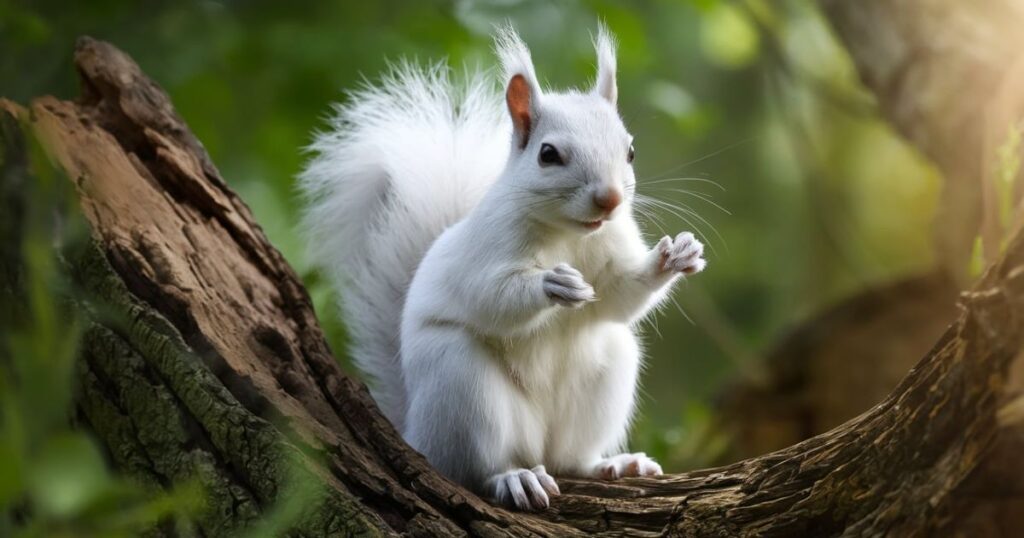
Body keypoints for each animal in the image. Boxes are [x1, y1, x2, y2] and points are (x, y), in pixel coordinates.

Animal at [299, 25, 708, 510]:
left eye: (630, 150)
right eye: (547, 154)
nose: (609, 200)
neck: (571, 234)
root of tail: (415, 431)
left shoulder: (612, 256)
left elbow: (619, 296)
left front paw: (676, 254)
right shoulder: (483, 251)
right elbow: (490, 297)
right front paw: (552, 283)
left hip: (608, 370)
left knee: (570, 458)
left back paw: (611, 464)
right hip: (461, 387)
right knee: (474, 469)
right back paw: (514, 478)